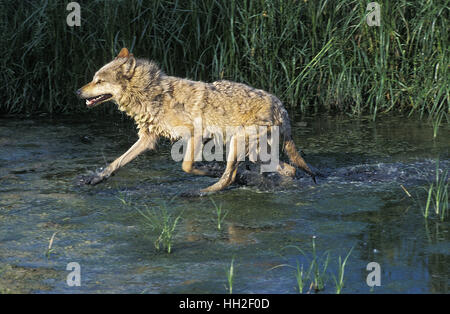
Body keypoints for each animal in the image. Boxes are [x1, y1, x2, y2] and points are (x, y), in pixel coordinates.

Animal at [76, 47, 316, 194]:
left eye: (99, 81)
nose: (77, 92)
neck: (152, 93)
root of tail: (281, 108)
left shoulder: (196, 134)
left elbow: (186, 166)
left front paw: (209, 170)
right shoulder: (148, 139)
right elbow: (117, 161)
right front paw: (97, 178)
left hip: (238, 144)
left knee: (229, 177)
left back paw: (199, 192)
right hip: (255, 152)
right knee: (289, 170)